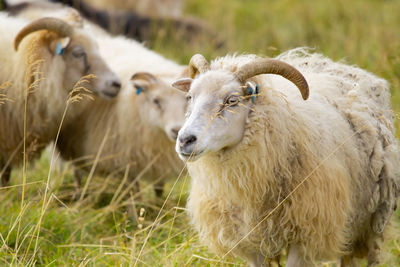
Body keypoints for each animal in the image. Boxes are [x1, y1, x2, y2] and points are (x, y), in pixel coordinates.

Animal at [173, 49, 400, 266]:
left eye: (232, 100)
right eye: (190, 97)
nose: (185, 140)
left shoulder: (306, 235)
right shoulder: (251, 240)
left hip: (366, 226)